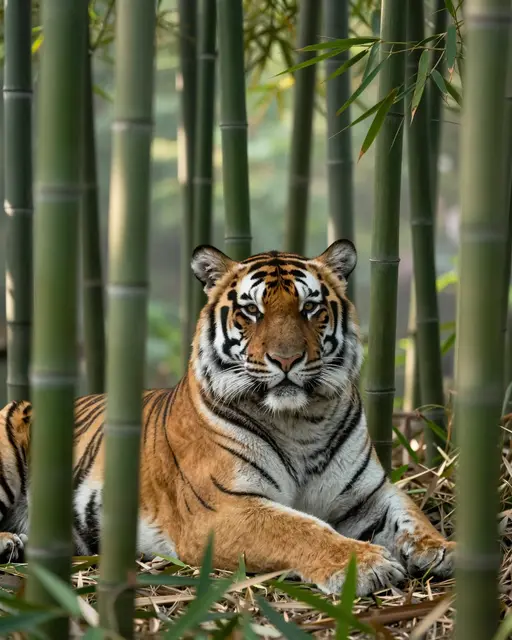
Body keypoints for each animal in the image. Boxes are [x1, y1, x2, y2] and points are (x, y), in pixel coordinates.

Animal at [0, 240, 454, 596]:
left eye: (310, 307)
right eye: (251, 311)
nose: (286, 359)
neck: (301, 421)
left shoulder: (370, 494)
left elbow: (411, 515)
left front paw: (445, 549)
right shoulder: (222, 508)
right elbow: (300, 528)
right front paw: (364, 564)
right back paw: (8, 540)